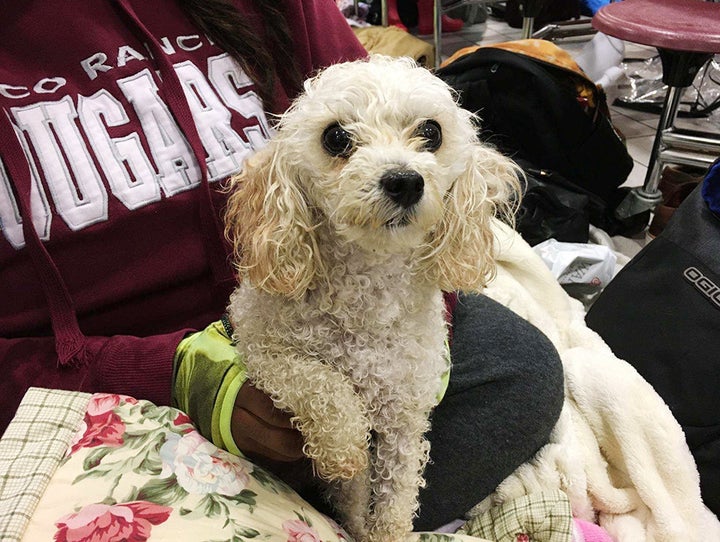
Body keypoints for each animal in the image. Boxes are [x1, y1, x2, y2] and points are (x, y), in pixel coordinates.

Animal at [225, 55, 516, 542]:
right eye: (336, 137)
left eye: (432, 131)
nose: (404, 181)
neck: (368, 292)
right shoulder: (261, 347)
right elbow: (322, 383)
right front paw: (343, 448)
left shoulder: (405, 407)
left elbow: (397, 490)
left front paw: (384, 527)